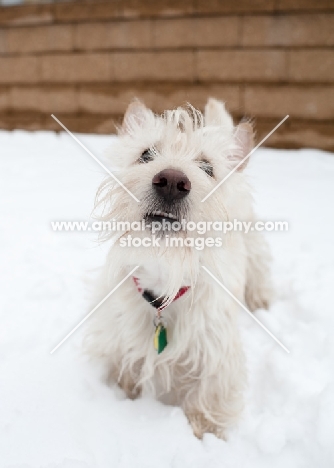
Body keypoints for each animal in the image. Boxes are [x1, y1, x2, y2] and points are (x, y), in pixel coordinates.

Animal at [85, 98, 272, 438]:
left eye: (208, 167)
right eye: (146, 154)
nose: (172, 181)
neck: (165, 275)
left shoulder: (215, 356)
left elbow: (206, 402)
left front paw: (202, 436)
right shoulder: (120, 339)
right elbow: (126, 373)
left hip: (253, 241)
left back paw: (261, 300)